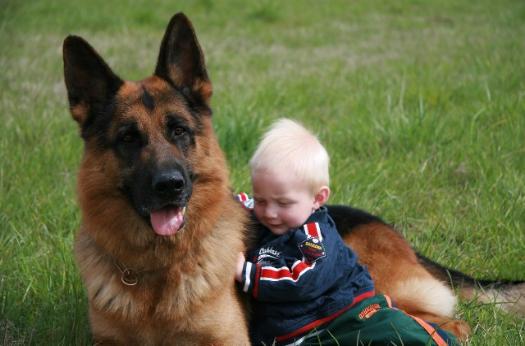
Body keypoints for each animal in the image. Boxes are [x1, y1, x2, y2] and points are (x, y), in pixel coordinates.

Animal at [64, 12, 524, 344]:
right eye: (128, 139)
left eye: (178, 131)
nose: (170, 186)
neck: (156, 273)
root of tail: (395, 233)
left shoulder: (227, 341)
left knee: (448, 323)